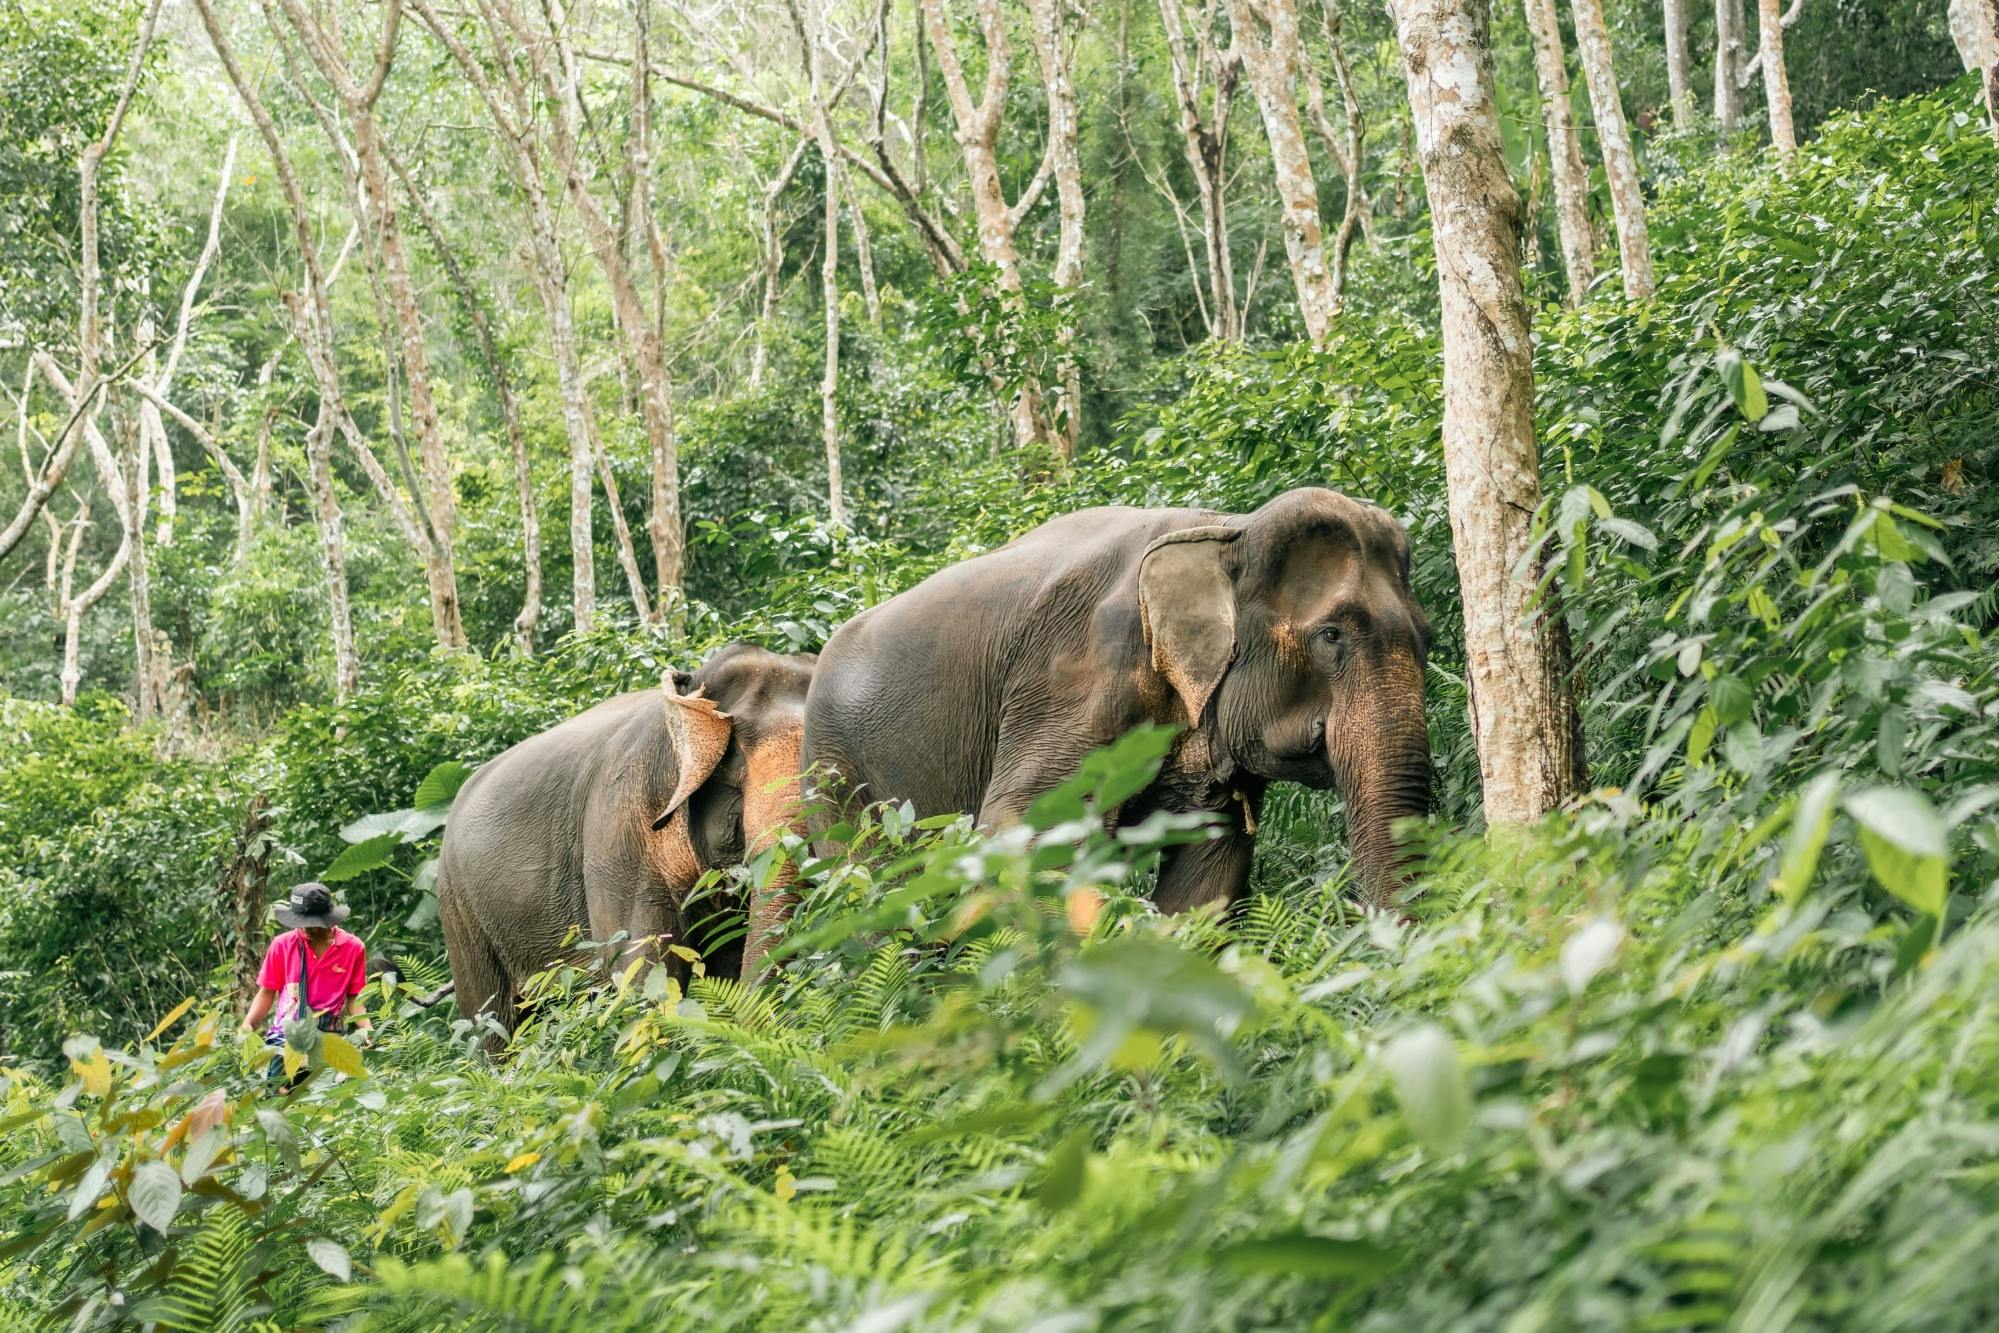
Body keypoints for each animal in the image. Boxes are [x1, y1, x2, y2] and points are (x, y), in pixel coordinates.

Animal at [801, 486, 1433, 922]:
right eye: (1331, 636)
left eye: (1426, 638)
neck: (1227, 531)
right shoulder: (1075, 676)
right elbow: (1026, 829)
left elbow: (1208, 874)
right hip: (835, 775)